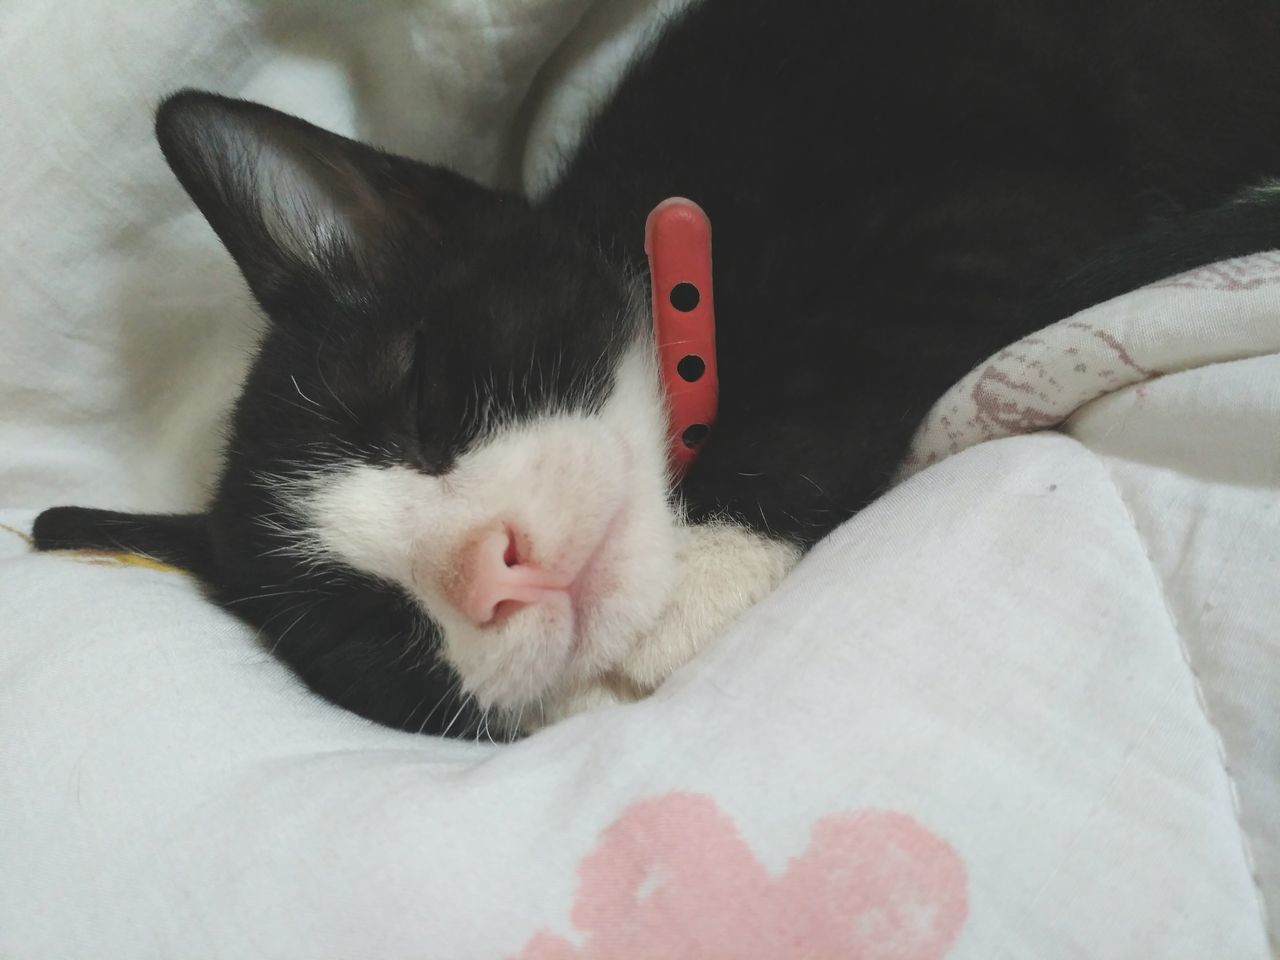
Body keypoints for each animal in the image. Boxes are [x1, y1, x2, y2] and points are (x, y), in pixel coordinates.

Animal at [27, 0, 1280, 742]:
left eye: (425, 399)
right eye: (364, 630)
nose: (492, 572)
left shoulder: (991, 197)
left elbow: (862, 338)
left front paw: (692, 584)